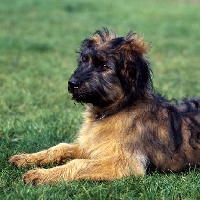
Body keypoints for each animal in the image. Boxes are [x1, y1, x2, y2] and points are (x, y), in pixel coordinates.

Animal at [8, 27, 200, 184]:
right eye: (84, 60)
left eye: (105, 66)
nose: (72, 83)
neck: (114, 109)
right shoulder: (90, 147)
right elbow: (60, 148)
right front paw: (26, 159)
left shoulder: (125, 163)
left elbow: (77, 164)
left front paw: (39, 174)